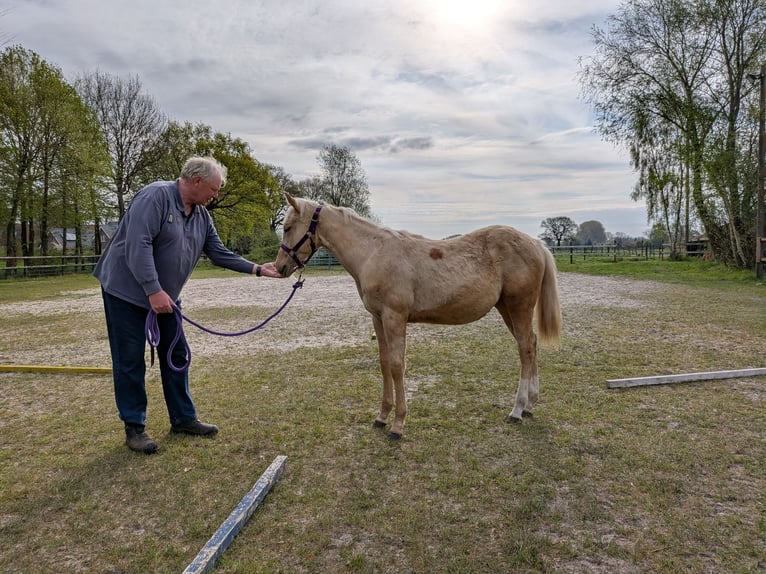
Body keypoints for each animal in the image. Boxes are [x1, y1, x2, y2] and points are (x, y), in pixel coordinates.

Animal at [276, 193, 562, 439]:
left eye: (288, 227)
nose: (280, 267)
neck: (373, 253)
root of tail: (535, 244)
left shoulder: (395, 318)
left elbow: (397, 365)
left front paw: (397, 424)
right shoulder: (378, 319)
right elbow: (384, 364)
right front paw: (381, 417)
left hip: (518, 307)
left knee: (525, 348)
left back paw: (517, 410)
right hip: (506, 309)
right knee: (531, 344)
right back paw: (530, 405)